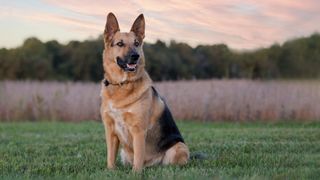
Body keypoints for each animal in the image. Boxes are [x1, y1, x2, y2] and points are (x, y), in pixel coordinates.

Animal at [100, 13, 189, 172]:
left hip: (178, 147)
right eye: (120, 44)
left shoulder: (138, 130)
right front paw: (110, 171)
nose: (135, 56)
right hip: (123, 153)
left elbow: (138, 157)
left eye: (136, 43)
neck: (122, 85)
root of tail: (151, 165)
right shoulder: (110, 130)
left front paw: (136, 173)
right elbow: (110, 156)